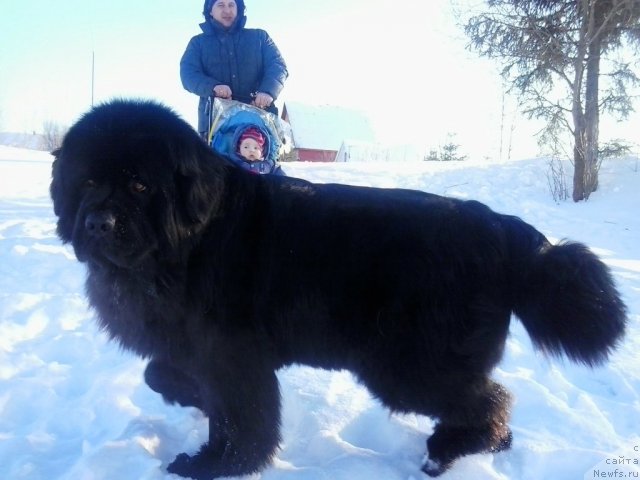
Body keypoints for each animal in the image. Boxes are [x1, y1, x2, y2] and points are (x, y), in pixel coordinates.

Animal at [48, 99, 624, 478]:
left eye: (139, 183)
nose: (97, 223)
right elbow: (161, 375)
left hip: (407, 365)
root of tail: (507, 232)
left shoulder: (234, 360)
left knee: (490, 399)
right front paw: (189, 400)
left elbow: (241, 422)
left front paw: (215, 465)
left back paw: (445, 452)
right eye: (88, 182)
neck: (190, 243)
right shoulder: (195, 349)